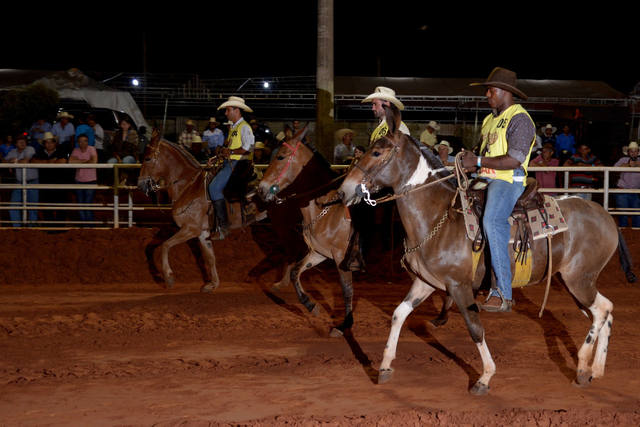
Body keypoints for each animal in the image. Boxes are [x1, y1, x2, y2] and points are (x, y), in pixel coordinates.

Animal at [258, 139, 360, 336]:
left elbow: (347, 289)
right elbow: (296, 271)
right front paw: (310, 305)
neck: (328, 208)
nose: (260, 188)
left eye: (280, 156)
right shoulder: (320, 252)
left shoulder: (341, 257)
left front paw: (344, 326)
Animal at [338, 106, 616, 394]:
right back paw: (596, 369)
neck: (437, 216)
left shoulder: (459, 287)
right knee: (606, 310)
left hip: (579, 280)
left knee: (600, 312)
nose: (343, 190)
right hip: (574, 281)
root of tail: (604, 215)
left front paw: (484, 377)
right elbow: (398, 314)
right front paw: (384, 366)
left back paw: (583, 368)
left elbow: (475, 329)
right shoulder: (426, 282)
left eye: (376, 152)